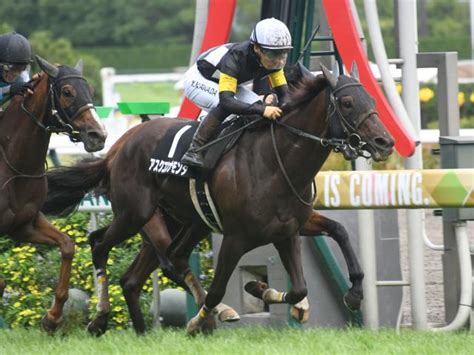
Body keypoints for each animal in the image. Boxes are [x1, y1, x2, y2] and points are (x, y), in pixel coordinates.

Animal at [0, 56, 106, 334]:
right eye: (67, 92)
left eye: (90, 90)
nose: (98, 135)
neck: (15, 164)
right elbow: (2, 282)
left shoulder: (24, 224)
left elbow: (67, 245)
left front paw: (52, 317)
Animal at [43, 62, 392, 336]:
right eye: (347, 102)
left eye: (371, 98)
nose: (384, 142)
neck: (275, 162)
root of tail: (118, 146)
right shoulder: (237, 238)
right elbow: (219, 286)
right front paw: (201, 320)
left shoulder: (289, 229)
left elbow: (318, 262)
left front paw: (348, 294)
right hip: (135, 213)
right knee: (101, 245)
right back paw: (99, 319)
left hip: (181, 221)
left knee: (146, 271)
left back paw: (143, 331)